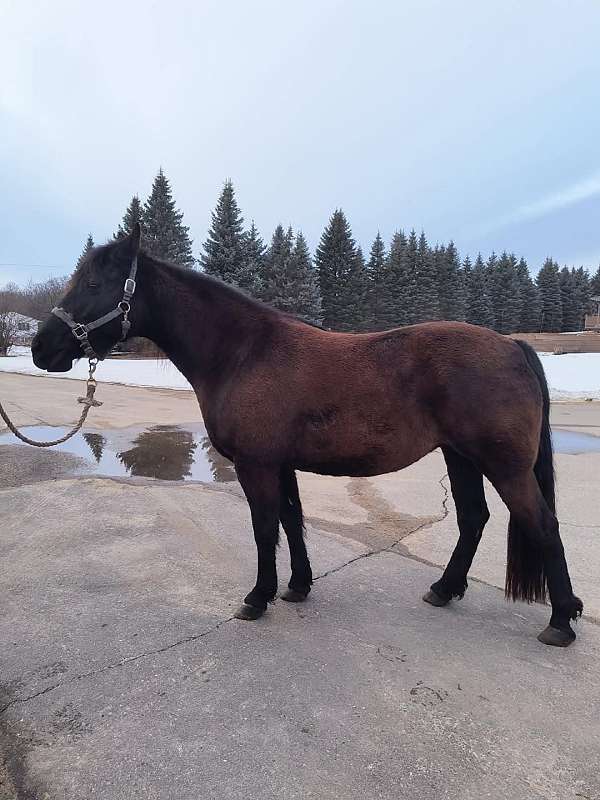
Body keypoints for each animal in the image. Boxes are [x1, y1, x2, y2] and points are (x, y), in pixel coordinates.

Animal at [32, 224, 583, 647]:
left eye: (95, 283)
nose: (41, 348)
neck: (243, 353)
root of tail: (512, 346)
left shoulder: (256, 464)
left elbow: (264, 527)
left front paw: (257, 598)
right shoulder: (281, 464)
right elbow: (292, 522)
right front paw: (297, 586)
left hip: (504, 467)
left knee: (543, 525)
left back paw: (560, 622)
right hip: (460, 457)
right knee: (472, 520)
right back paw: (445, 590)